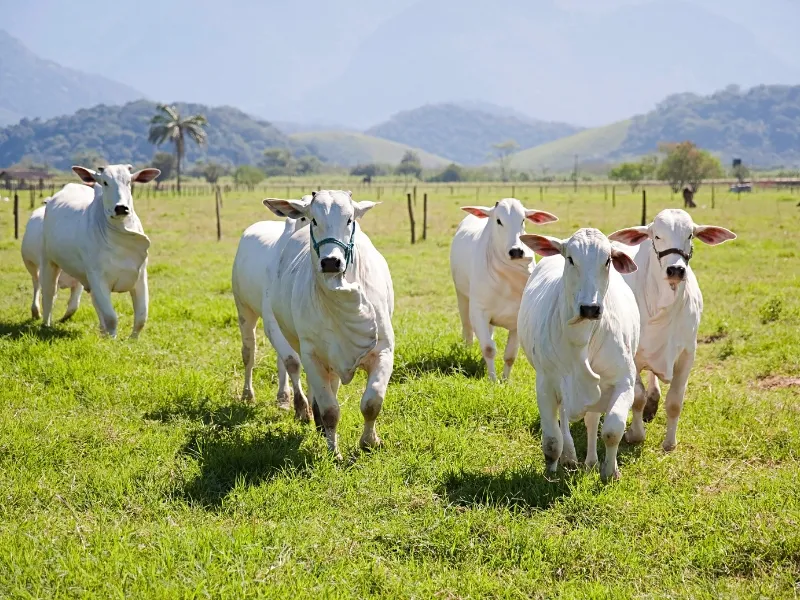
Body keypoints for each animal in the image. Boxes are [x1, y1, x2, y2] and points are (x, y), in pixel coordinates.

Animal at [40, 164, 159, 338]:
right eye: (105, 182)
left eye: (129, 181)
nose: (121, 208)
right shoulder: (98, 278)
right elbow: (111, 317)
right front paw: (112, 339)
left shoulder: (140, 276)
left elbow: (141, 317)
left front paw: (132, 340)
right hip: (49, 261)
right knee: (49, 293)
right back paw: (46, 325)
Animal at [231, 206, 310, 418]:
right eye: (303, 217)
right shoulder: (271, 322)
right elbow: (293, 361)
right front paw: (302, 408)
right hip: (244, 310)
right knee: (249, 352)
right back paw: (248, 394)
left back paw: (283, 396)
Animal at [264, 190, 396, 458]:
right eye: (314, 220)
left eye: (349, 219)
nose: (331, 262)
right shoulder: (313, 355)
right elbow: (330, 410)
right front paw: (333, 452)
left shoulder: (384, 350)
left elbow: (372, 402)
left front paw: (369, 441)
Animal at [450, 199, 556, 382]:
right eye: (499, 220)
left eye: (523, 220)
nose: (516, 251)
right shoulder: (479, 312)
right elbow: (488, 349)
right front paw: (493, 379)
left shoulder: (517, 320)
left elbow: (510, 355)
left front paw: (505, 381)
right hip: (462, 296)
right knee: (467, 329)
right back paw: (467, 350)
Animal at [608, 210, 736, 450]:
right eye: (657, 236)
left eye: (690, 235)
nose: (676, 269)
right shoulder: (633, 355)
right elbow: (637, 397)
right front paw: (635, 434)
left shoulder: (687, 354)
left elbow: (675, 401)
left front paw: (670, 443)